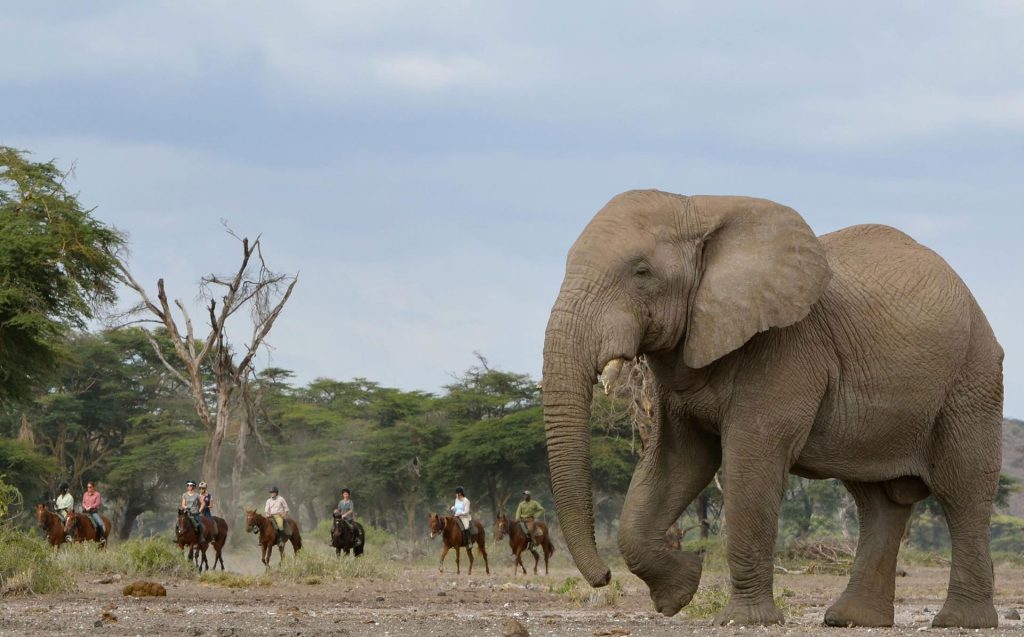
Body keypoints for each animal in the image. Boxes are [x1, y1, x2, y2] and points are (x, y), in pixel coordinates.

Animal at [540, 189, 1003, 630]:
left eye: (641, 272)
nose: (603, 578)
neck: (701, 210)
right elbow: (677, 464)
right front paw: (679, 591)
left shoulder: (787, 346)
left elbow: (750, 465)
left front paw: (741, 619)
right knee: (876, 502)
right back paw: (850, 620)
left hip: (972, 377)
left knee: (962, 489)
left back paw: (961, 622)